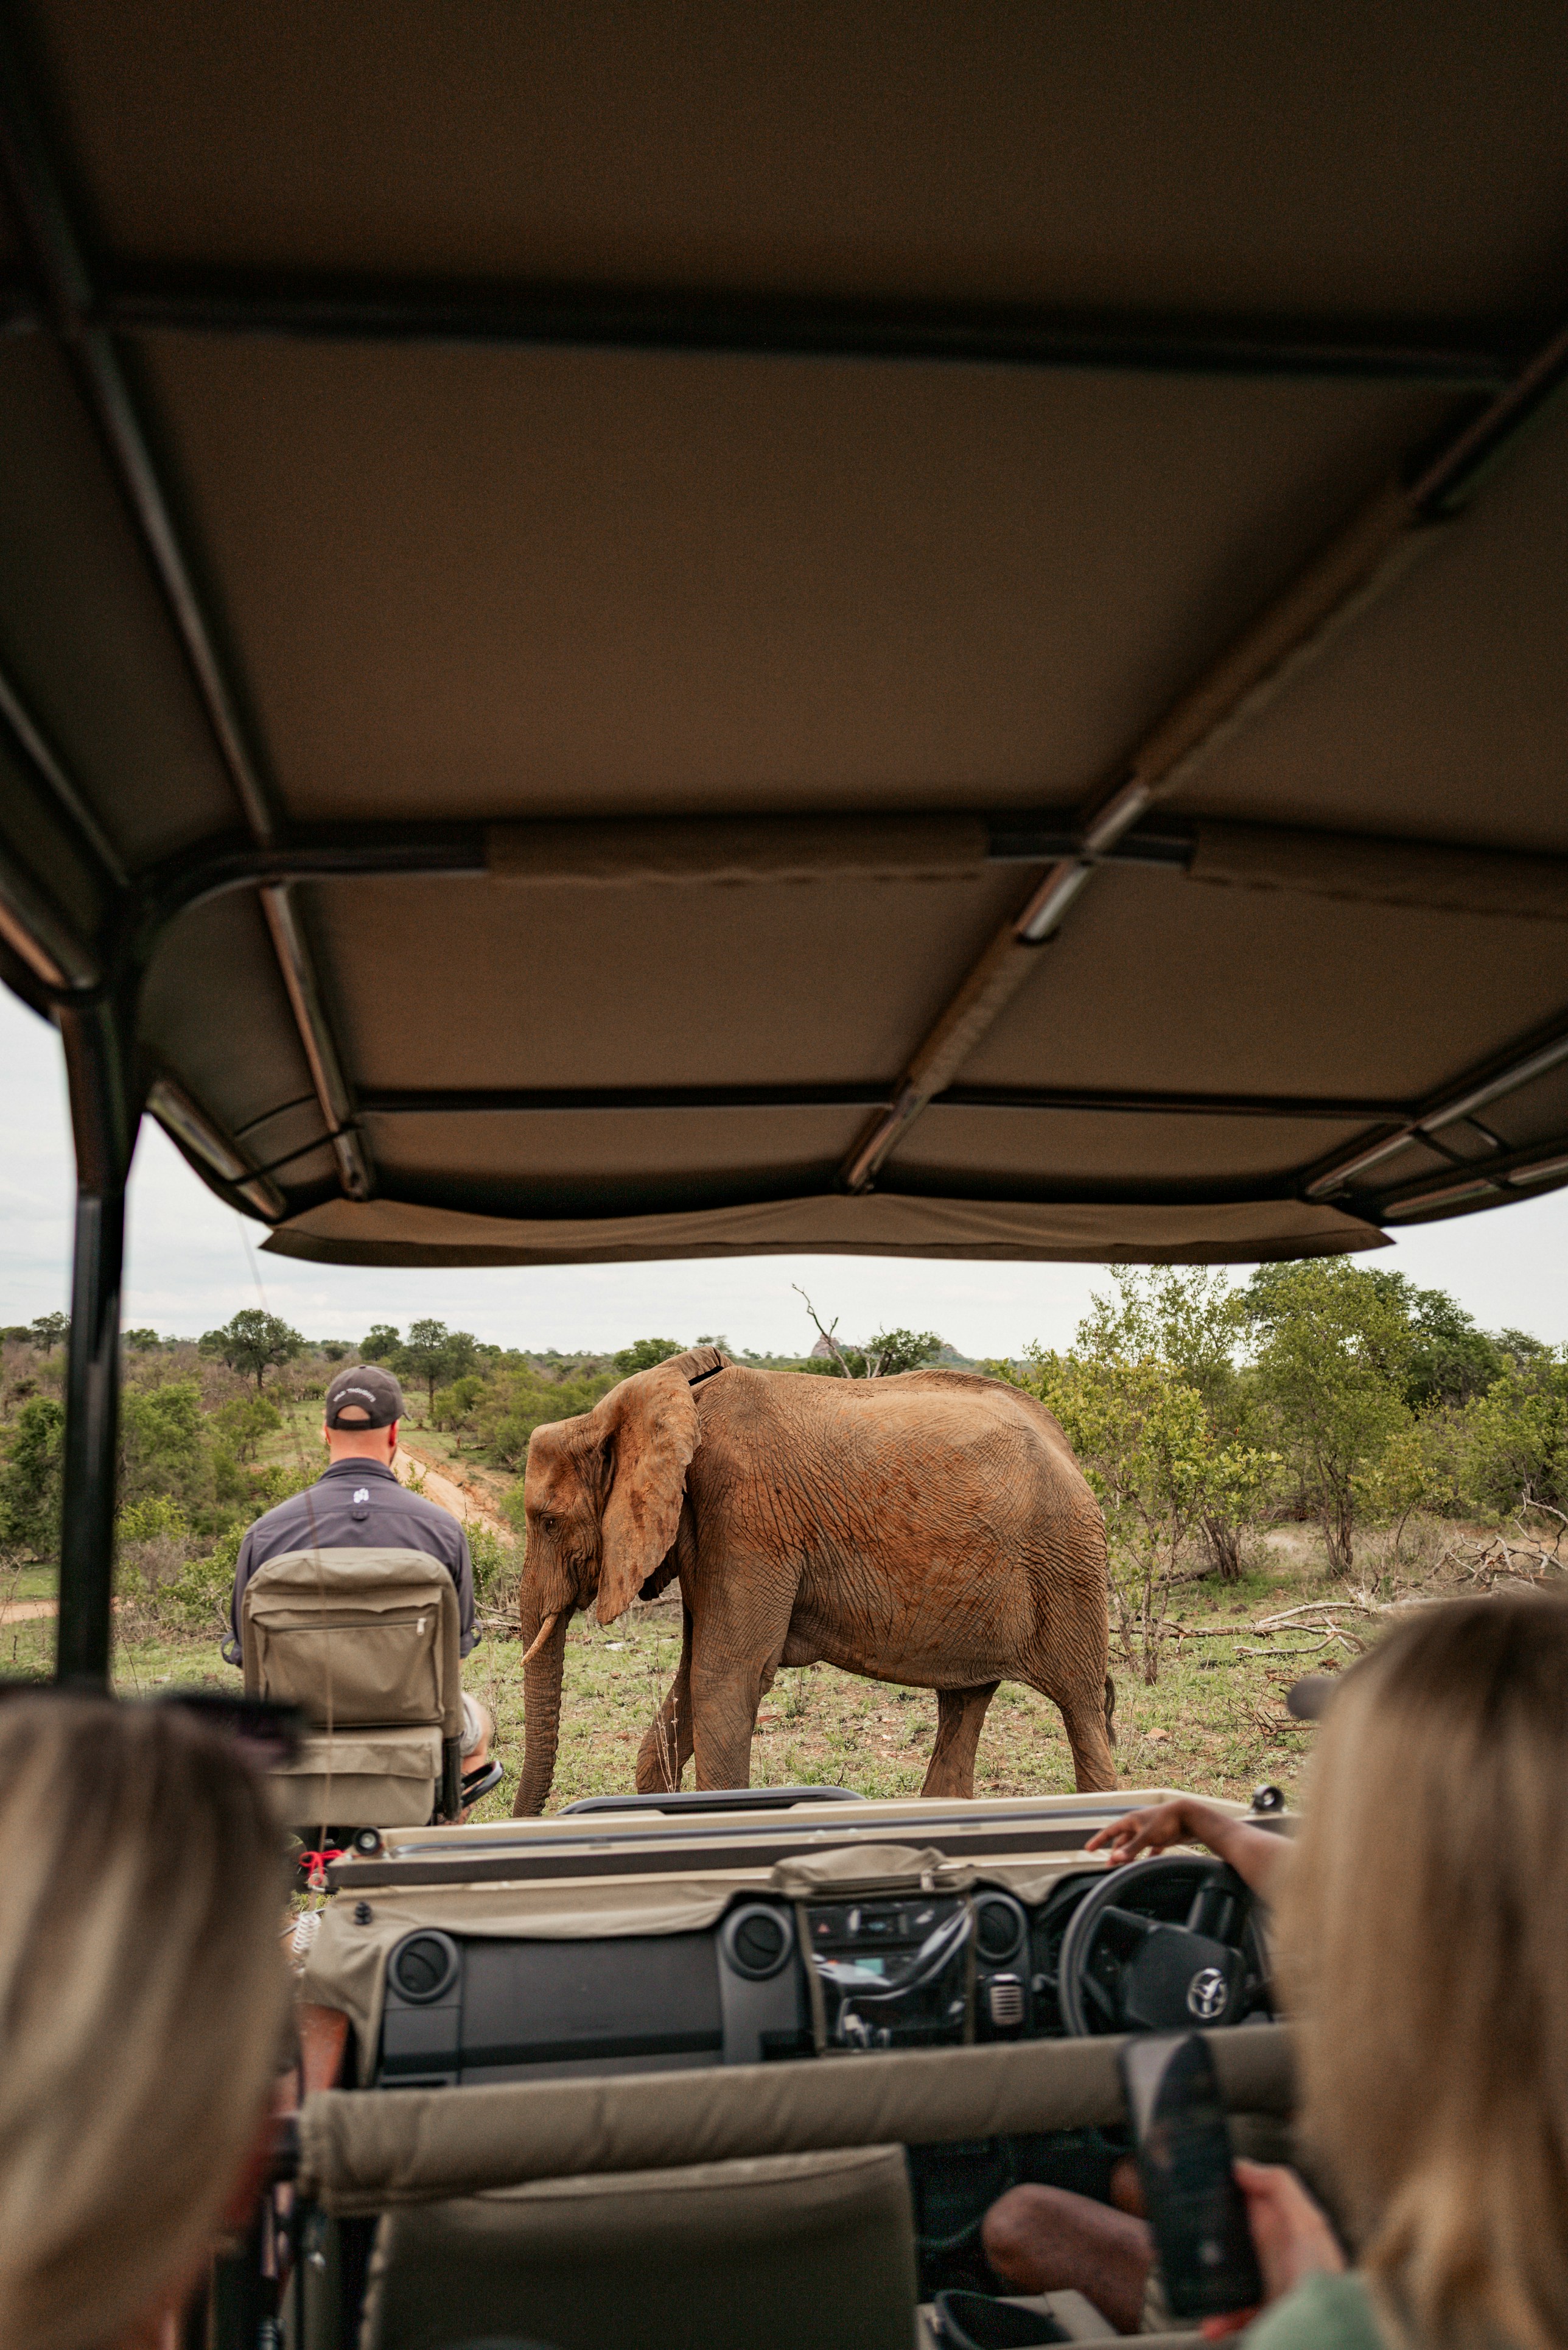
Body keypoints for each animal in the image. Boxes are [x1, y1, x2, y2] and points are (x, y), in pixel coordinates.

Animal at [513, 1344, 1116, 1815]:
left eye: (548, 1521)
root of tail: (1065, 1445)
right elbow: (691, 1679)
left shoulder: (745, 1516)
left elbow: (724, 1677)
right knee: (965, 1701)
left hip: (1070, 1566)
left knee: (1082, 1711)